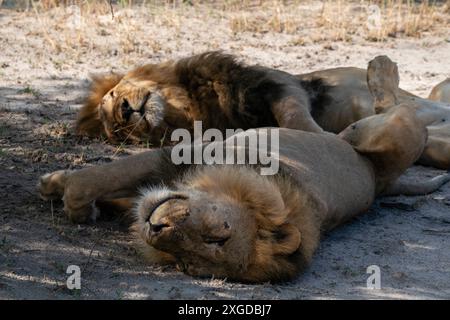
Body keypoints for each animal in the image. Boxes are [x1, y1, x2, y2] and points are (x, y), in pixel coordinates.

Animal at [37, 105, 450, 282]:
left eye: (185, 264)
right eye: (219, 233)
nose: (155, 230)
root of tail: (379, 184)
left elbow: (98, 180)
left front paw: (71, 198)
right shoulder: (184, 152)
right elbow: (106, 176)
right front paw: (55, 184)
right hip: (381, 131)